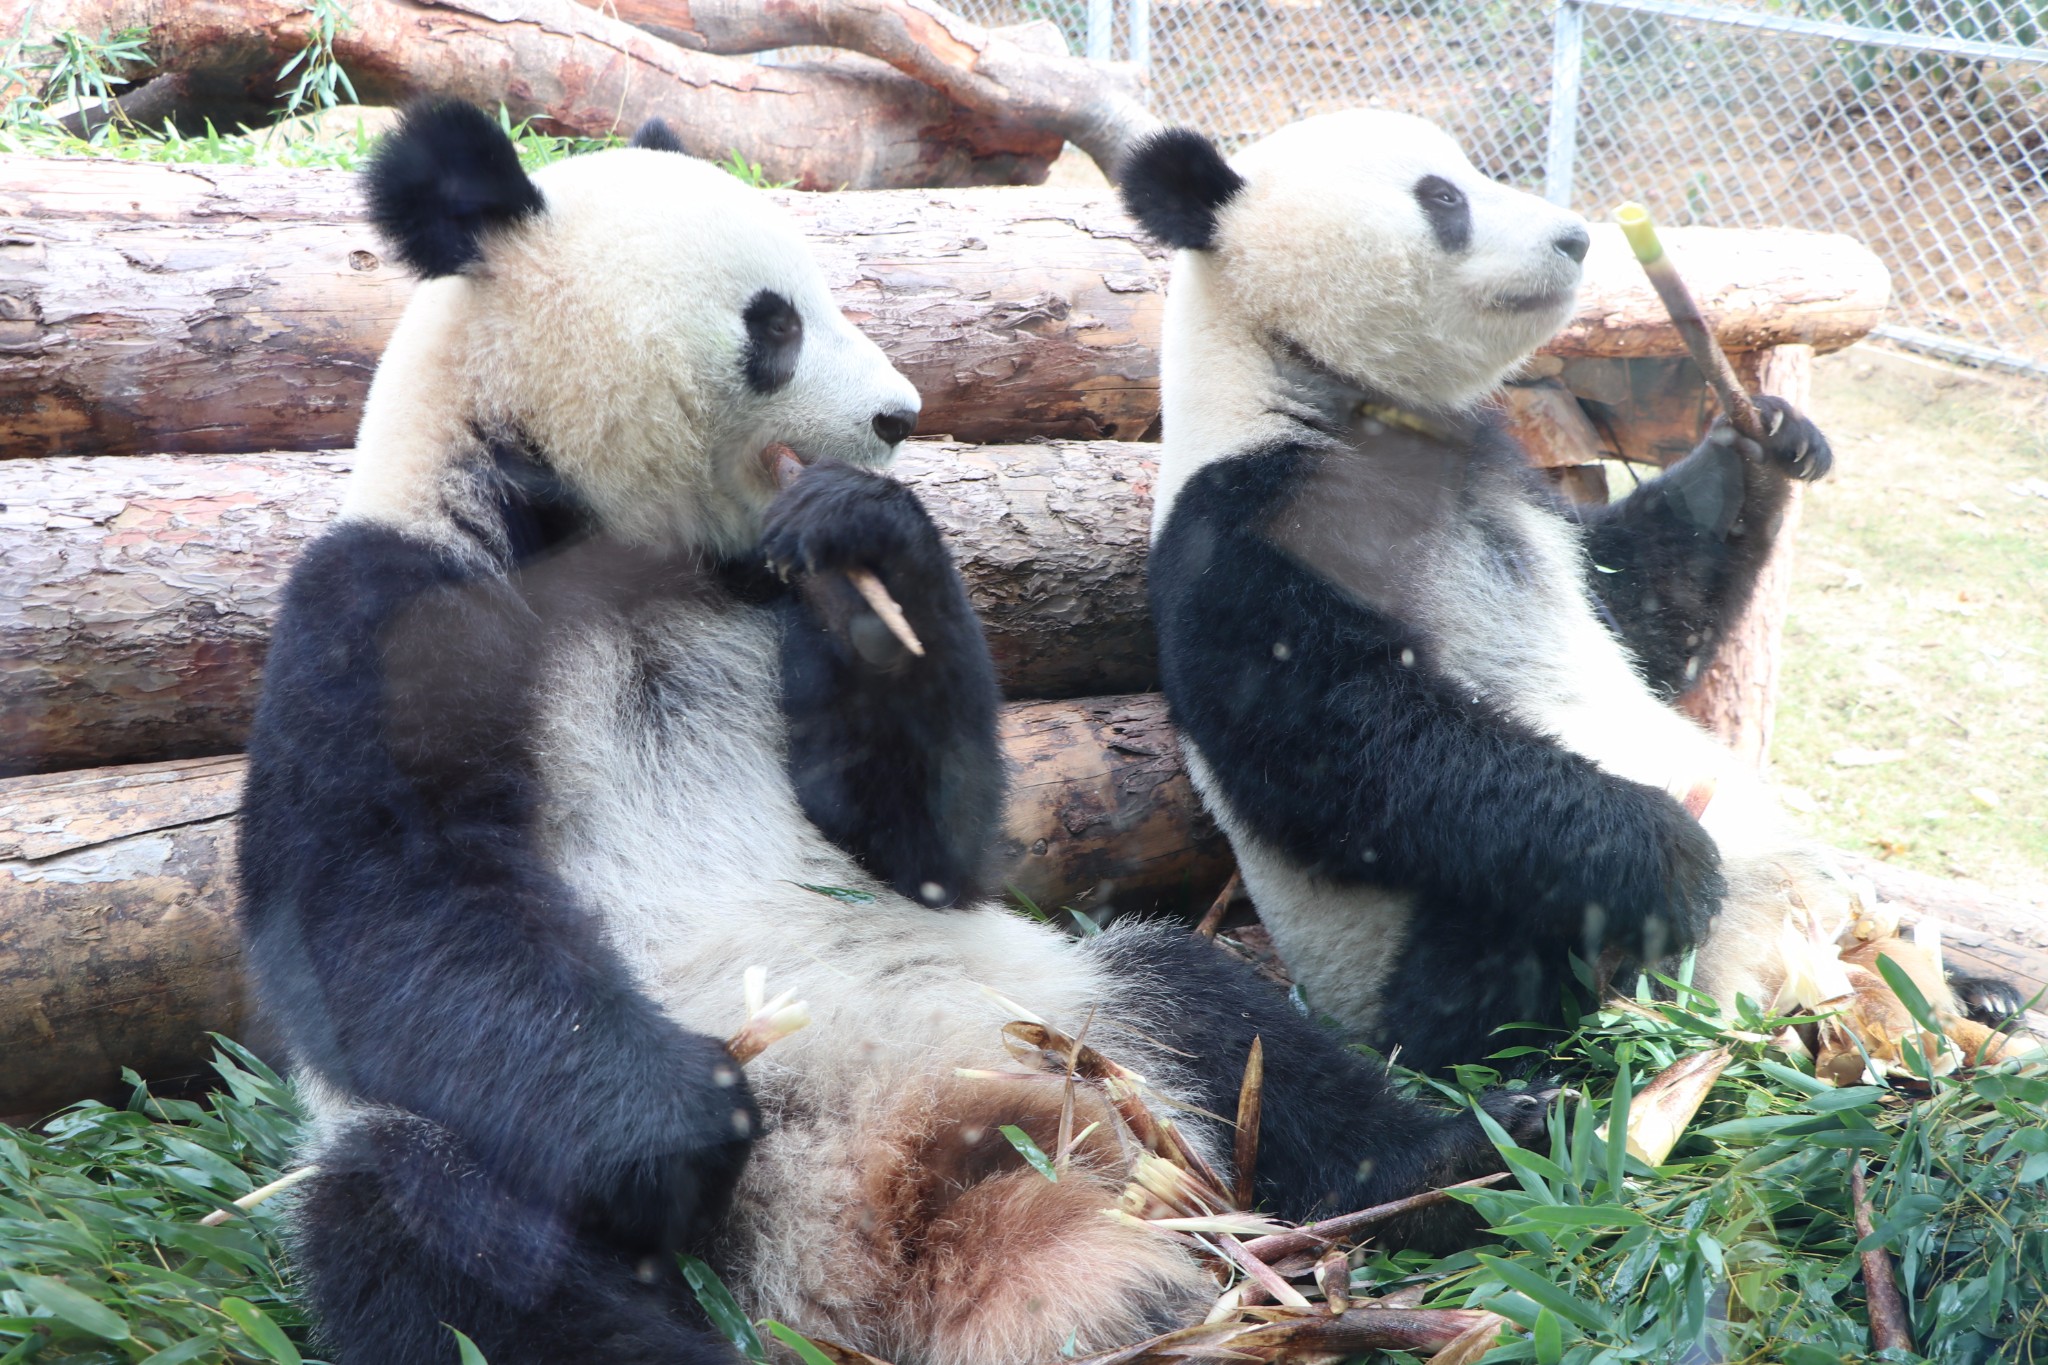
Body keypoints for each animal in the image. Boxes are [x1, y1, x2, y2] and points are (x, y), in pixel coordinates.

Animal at [235, 101, 1548, 1365]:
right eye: (771, 323)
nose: (898, 415)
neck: (612, 544)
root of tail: (900, 1212)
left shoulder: (758, 599)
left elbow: (915, 841)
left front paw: (873, 539)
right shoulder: (395, 604)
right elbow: (381, 898)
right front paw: (688, 1115)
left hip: (1054, 1010)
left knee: (1208, 1006)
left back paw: (1456, 1157)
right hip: (578, 1183)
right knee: (430, 1226)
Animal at [1122, 112, 2015, 1080]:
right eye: (1444, 197)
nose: (1578, 237)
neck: (1315, 386)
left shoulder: (1513, 483)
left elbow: (1639, 601)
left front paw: (1765, 443)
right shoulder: (1248, 529)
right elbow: (1349, 738)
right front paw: (1670, 854)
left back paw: (1975, 994)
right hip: (1412, 938)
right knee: (1505, 941)